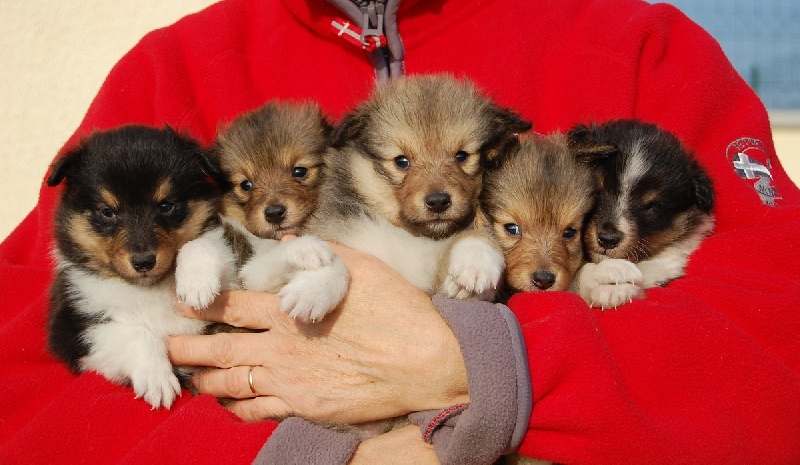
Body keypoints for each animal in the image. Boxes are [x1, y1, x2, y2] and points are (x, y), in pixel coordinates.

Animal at [47, 125, 222, 408]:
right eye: (108, 212)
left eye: (166, 205)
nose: (143, 261)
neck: (146, 288)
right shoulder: (73, 330)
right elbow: (136, 333)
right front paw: (157, 381)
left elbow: (198, 243)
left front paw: (197, 286)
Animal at [173, 99, 348, 320]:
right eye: (246, 184)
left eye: (299, 171)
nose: (274, 213)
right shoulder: (250, 274)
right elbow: (194, 245)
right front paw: (196, 283)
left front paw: (313, 293)